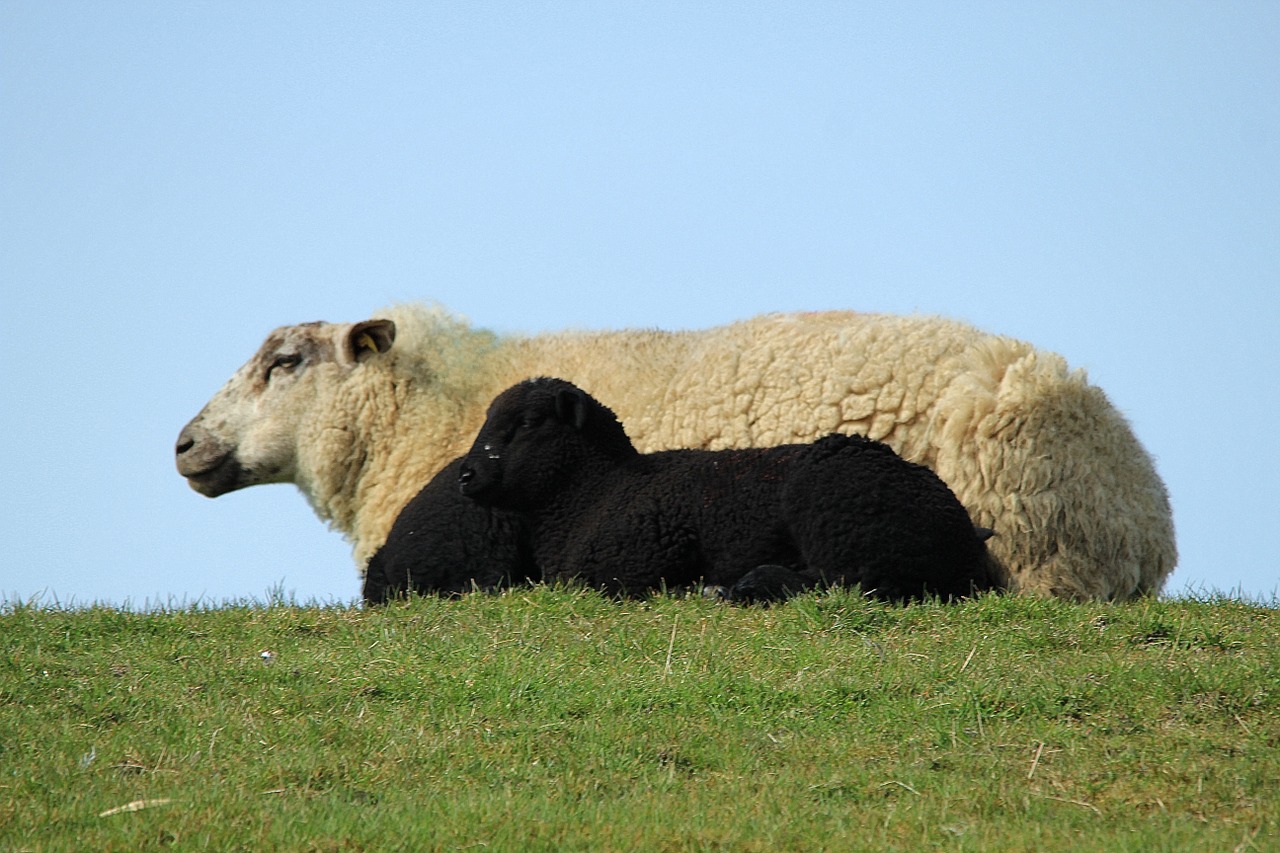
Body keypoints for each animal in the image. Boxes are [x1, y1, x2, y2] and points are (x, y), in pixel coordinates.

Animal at [458, 376, 998, 601]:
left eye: (527, 423)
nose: (466, 476)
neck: (598, 494)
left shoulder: (627, 566)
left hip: (843, 523)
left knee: (851, 584)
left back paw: (741, 586)